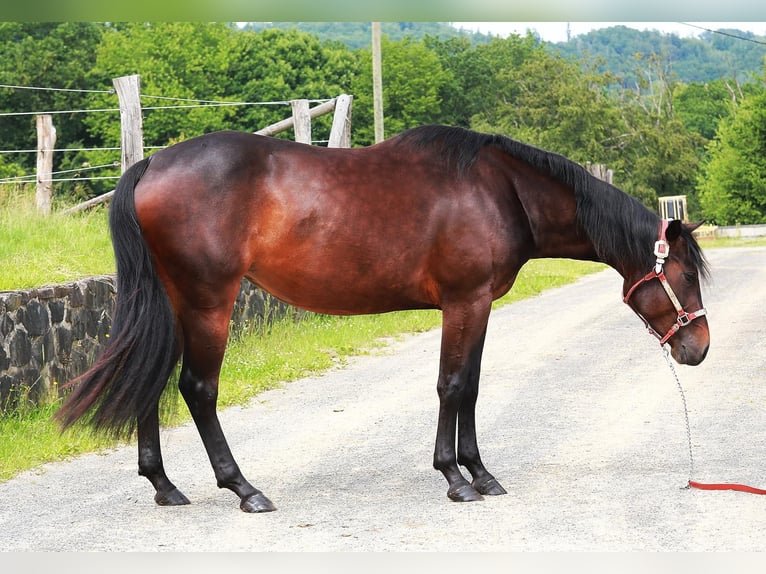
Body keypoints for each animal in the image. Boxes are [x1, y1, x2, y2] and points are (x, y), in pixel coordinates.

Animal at [56, 125, 710, 513]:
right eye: (682, 275)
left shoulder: (476, 305)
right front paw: (455, 478)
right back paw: (244, 488)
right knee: (196, 388)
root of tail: (152, 163)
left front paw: (480, 473)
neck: (502, 190)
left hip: (172, 301)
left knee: (151, 381)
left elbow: (470, 387)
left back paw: (165, 487)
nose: (698, 348)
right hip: (208, 301)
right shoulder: (465, 301)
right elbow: (453, 385)